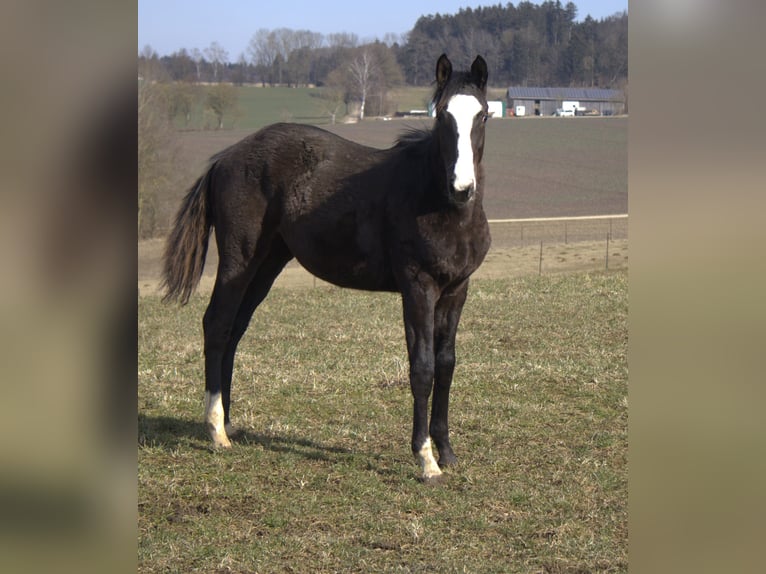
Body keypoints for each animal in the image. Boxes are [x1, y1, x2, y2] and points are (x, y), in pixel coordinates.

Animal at [165, 56, 496, 484]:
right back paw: (216, 430)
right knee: (218, 325)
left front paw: (448, 452)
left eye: (483, 115)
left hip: (267, 264)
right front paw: (426, 460)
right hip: (238, 260)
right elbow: (422, 367)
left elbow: (446, 363)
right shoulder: (418, 288)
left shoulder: (456, 290)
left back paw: (229, 422)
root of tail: (225, 158)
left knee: (235, 331)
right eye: (441, 115)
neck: (437, 203)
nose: (462, 188)